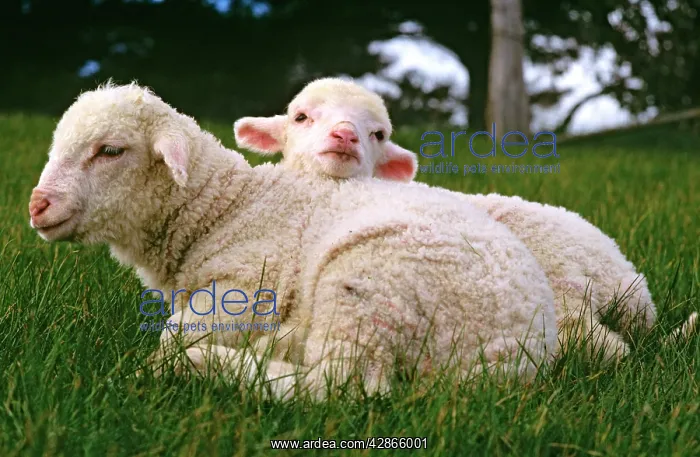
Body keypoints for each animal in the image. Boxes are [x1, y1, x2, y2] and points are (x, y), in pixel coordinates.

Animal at [28, 82, 559, 400]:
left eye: (110, 150)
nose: (37, 205)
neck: (227, 207)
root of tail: (517, 357)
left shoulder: (244, 287)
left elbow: (172, 337)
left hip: (371, 282)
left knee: (344, 386)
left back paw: (219, 364)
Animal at [235, 77, 678, 362]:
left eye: (379, 134)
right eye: (301, 117)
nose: (345, 135)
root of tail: (629, 279)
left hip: (559, 280)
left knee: (596, 344)